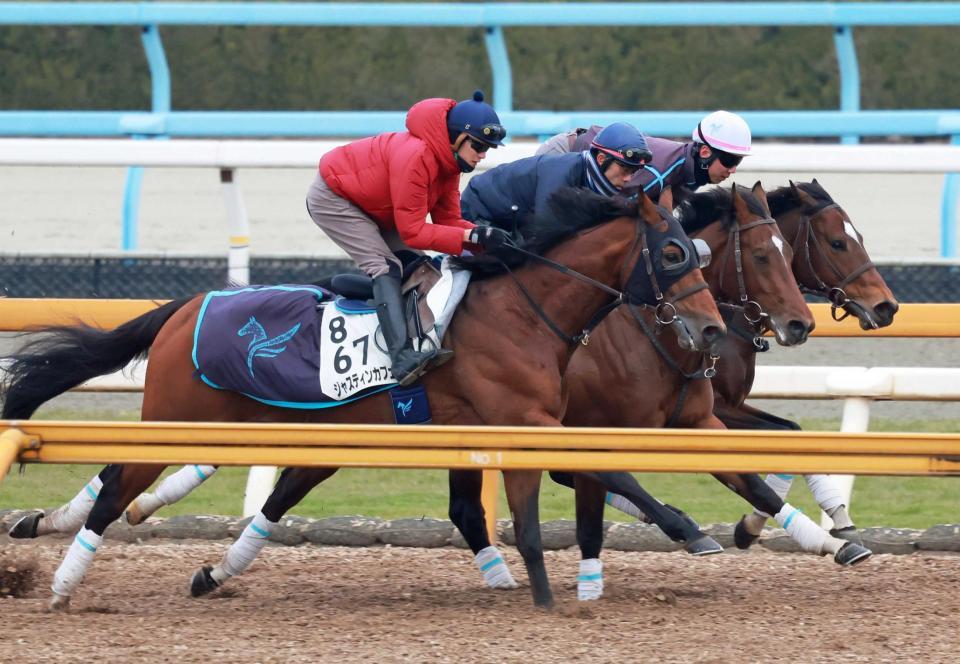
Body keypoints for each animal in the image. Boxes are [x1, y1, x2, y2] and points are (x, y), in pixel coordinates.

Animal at [0, 188, 720, 612]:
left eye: (703, 253)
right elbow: (608, 471)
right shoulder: (529, 420)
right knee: (116, 486)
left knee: (203, 492)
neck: (521, 309)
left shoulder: (519, 426)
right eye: (674, 252)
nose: (712, 328)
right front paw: (689, 531)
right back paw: (63, 583)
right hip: (181, 419)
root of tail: (185, 306)